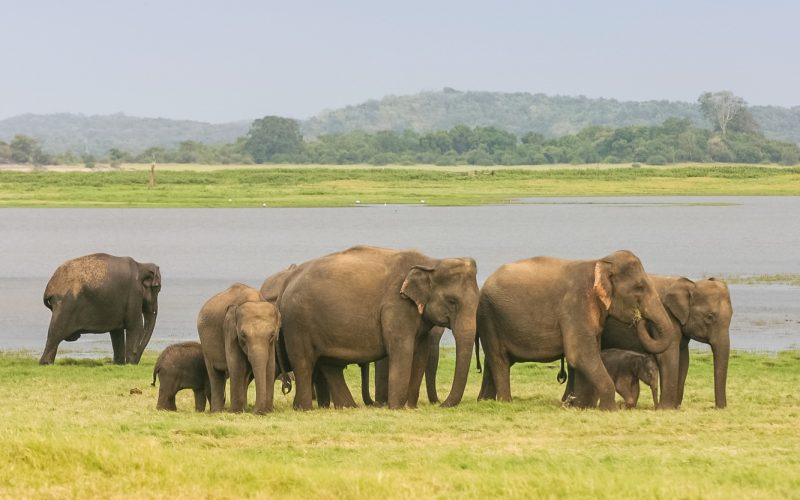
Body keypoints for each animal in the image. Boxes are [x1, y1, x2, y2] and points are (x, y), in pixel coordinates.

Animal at [197, 283, 281, 413]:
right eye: (243, 335)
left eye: (272, 335)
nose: (256, 411)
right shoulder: (229, 331)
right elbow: (237, 364)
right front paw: (236, 412)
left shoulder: (272, 343)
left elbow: (270, 366)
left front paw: (266, 411)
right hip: (205, 343)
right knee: (215, 373)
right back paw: (217, 411)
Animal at [275, 245, 479, 410]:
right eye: (452, 301)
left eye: (478, 302)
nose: (442, 405)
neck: (431, 262)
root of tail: (287, 282)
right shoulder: (396, 306)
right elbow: (402, 350)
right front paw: (396, 408)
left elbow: (420, 353)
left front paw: (410, 407)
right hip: (298, 321)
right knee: (303, 362)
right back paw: (305, 409)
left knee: (330, 365)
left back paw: (348, 407)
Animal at [476, 250, 674, 410]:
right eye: (639, 287)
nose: (639, 318)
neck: (599, 263)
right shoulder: (575, 305)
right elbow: (580, 354)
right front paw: (608, 409)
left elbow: (589, 354)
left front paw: (578, 406)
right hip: (489, 315)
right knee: (499, 359)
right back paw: (505, 403)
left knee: (493, 361)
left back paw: (485, 402)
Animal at [600, 276, 732, 408]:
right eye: (709, 317)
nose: (717, 407)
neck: (689, 284)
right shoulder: (666, 315)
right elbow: (668, 355)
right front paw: (666, 408)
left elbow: (683, 359)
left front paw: (675, 407)